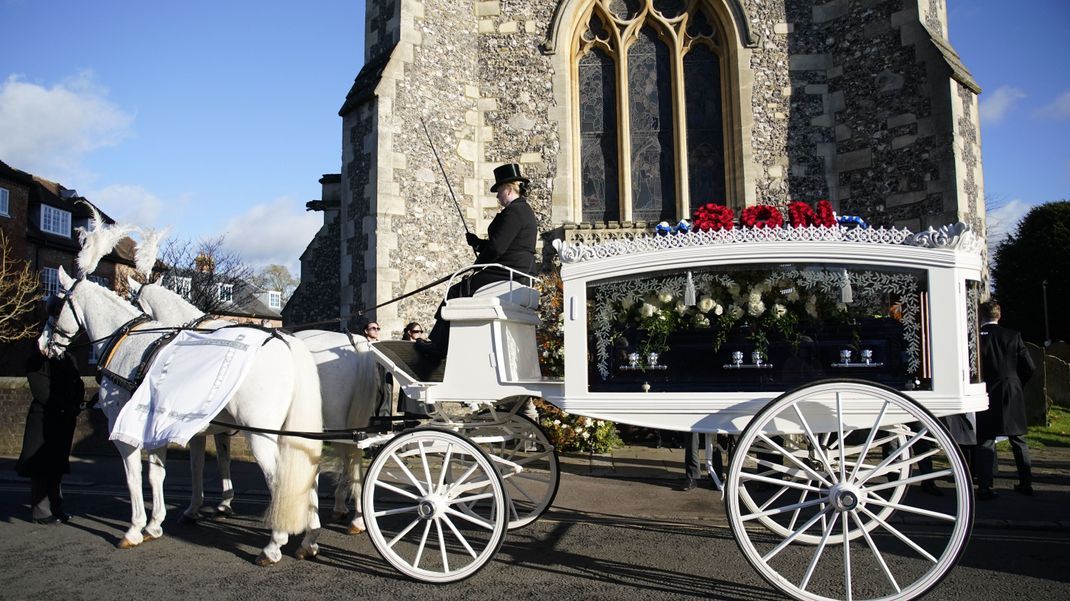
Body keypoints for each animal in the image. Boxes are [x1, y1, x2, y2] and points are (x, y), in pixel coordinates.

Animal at [39, 266, 323, 560]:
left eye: (54, 306)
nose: (42, 344)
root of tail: (285, 343)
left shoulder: (124, 428)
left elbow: (134, 476)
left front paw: (135, 528)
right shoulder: (173, 427)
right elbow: (168, 472)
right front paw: (160, 522)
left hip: (260, 433)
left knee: (280, 479)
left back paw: (274, 544)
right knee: (308, 473)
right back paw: (309, 539)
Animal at [128, 273, 380, 530]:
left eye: (133, 302)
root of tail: (355, 340)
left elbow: (200, 464)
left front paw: (198, 507)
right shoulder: (216, 425)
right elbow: (221, 461)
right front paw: (223, 503)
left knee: (347, 456)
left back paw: (350, 512)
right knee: (348, 457)